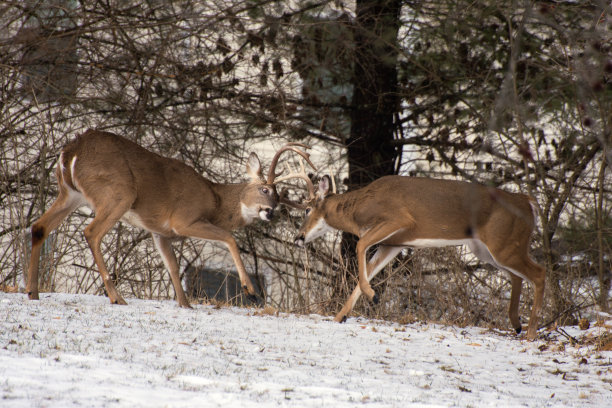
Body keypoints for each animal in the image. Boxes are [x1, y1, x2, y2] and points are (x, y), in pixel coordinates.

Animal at [27, 129, 316, 308]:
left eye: (279, 198)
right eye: (265, 189)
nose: (271, 211)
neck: (215, 200)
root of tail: (71, 152)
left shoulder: (160, 233)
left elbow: (174, 266)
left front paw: (185, 304)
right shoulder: (184, 219)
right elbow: (228, 237)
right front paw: (250, 289)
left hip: (70, 193)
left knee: (39, 226)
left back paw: (33, 291)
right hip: (119, 192)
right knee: (91, 232)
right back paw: (116, 296)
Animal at [290, 172, 548, 342]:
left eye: (307, 209)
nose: (298, 237)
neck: (359, 209)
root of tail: (528, 202)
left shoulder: (399, 219)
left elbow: (361, 245)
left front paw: (373, 296)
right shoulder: (393, 243)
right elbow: (369, 268)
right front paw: (339, 317)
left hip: (504, 245)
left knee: (539, 273)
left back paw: (530, 333)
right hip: (487, 249)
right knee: (518, 277)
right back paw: (517, 324)